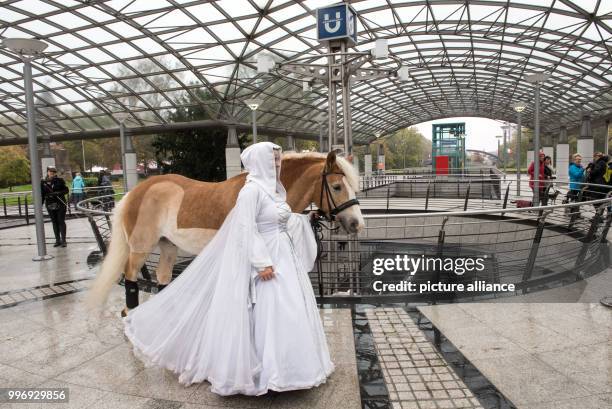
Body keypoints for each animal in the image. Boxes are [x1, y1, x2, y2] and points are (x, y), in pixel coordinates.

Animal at [86, 151, 364, 314]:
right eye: (337, 186)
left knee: (163, 276)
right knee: (131, 275)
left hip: (168, 245)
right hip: (141, 246)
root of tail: (135, 192)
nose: (357, 224)